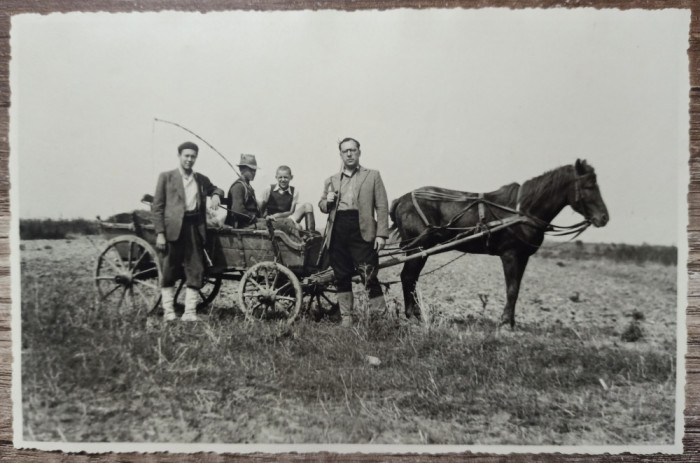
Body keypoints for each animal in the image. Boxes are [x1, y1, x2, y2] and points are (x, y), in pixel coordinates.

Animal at [392, 161, 608, 328]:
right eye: (589, 186)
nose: (604, 218)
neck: (521, 212)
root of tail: (402, 199)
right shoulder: (510, 255)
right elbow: (511, 289)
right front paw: (505, 322)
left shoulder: (523, 257)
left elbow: (516, 288)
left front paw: (511, 321)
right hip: (418, 247)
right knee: (408, 277)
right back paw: (412, 316)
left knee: (411, 278)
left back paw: (416, 314)